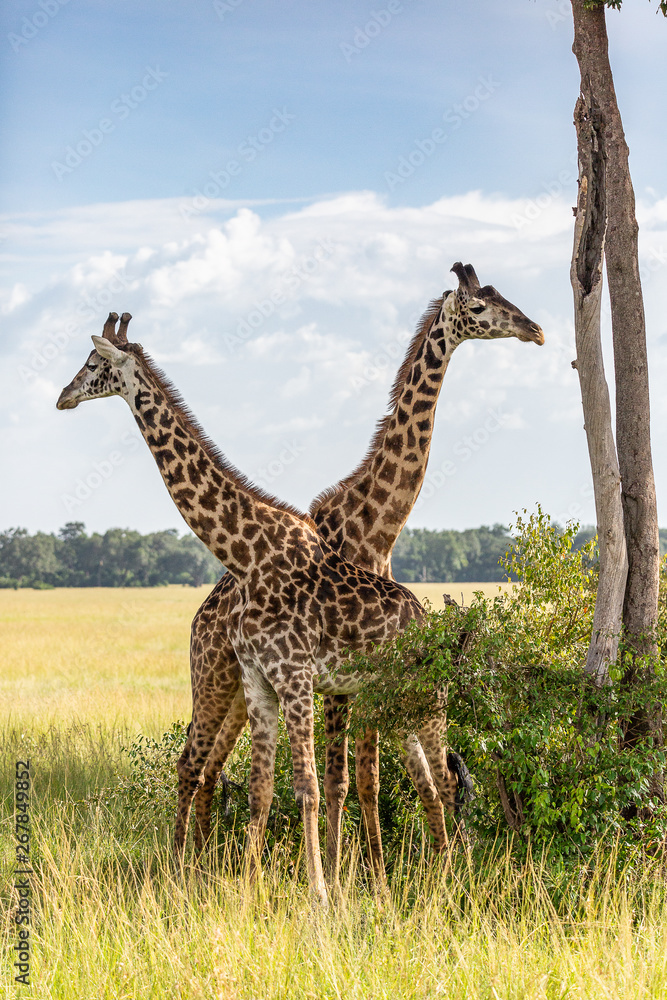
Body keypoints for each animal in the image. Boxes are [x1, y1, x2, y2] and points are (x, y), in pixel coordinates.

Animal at [190, 263, 544, 879]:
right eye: (479, 308)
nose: (535, 330)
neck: (376, 524)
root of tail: (198, 620)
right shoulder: (344, 672)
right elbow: (346, 780)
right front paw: (347, 877)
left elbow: (364, 779)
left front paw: (361, 876)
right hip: (215, 677)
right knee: (197, 765)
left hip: (239, 688)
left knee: (212, 768)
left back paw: (201, 867)